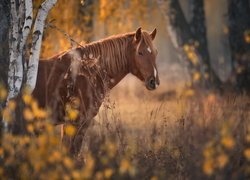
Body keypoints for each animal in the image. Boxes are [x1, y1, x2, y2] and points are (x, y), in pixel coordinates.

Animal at [32, 27, 160, 157]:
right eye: (140, 52)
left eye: (156, 52)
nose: (153, 81)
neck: (86, 72)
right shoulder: (73, 123)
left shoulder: (81, 123)